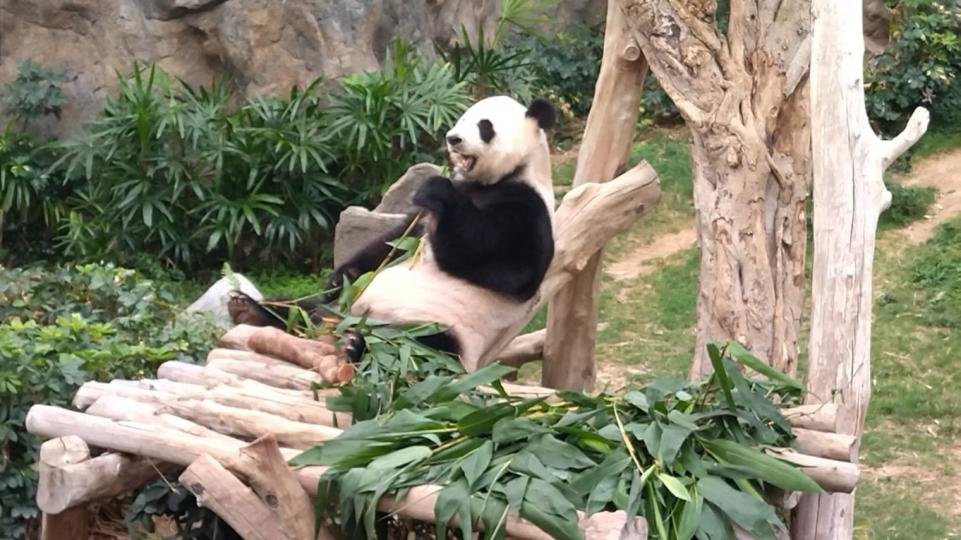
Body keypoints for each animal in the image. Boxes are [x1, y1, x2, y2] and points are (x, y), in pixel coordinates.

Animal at [231, 95, 556, 370]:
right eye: (462, 118)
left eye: (484, 126)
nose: (453, 138)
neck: (489, 182)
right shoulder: (423, 216)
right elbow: (391, 244)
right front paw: (340, 277)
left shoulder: (528, 206)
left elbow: (508, 266)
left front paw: (438, 189)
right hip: (337, 307)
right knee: (300, 306)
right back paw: (249, 308)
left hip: (438, 331)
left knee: (420, 351)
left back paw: (356, 346)